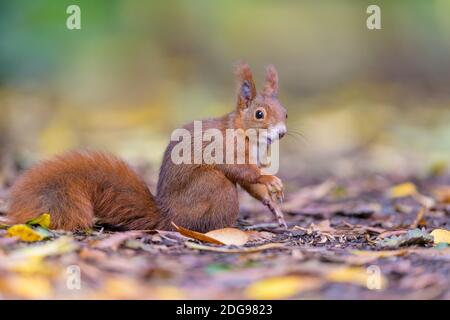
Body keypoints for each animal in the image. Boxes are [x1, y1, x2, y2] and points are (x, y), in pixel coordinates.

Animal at [7, 63, 288, 232]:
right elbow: (240, 170)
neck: (245, 133)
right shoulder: (226, 148)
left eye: (285, 113)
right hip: (215, 188)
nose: (282, 133)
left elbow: (252, 186)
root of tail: (167, 216)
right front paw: (270, 179)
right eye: (260, 114)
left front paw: (274, 206)